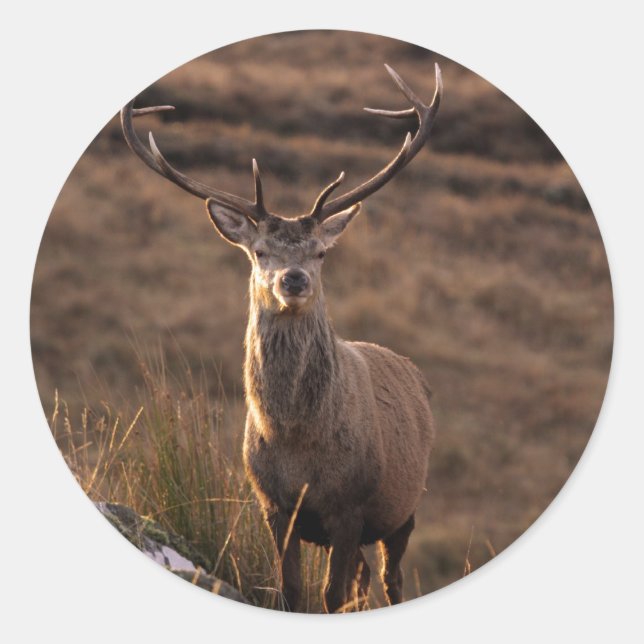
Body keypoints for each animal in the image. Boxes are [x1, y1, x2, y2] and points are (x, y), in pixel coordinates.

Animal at [121, 62, 441, 613]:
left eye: (321, 253)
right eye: (260, 251)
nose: (293, 279)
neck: (296, 443)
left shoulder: (350, 505)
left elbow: (330, 596)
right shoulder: (274, 504)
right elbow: (292, 591)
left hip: (404, 505)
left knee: (390, 579)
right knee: (363, 580)